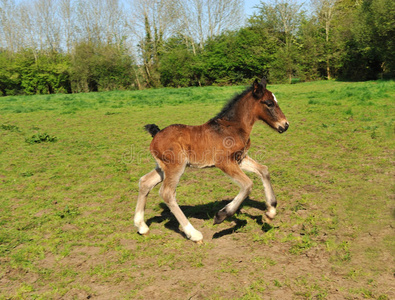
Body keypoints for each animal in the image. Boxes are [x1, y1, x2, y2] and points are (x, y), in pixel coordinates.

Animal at [135, 77, 290, 241]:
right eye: (269, 103)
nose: (285, 125)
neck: (233, 127)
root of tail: (156, 134)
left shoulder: (240, 159)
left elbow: (264, 170)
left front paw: (270, 212)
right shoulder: (224, 162)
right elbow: (248, 184)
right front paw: (221, 215)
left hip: (162, 168)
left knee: (145, 182)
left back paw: (142, 227)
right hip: (175, 167)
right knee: (167, 193)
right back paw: (194, 234)